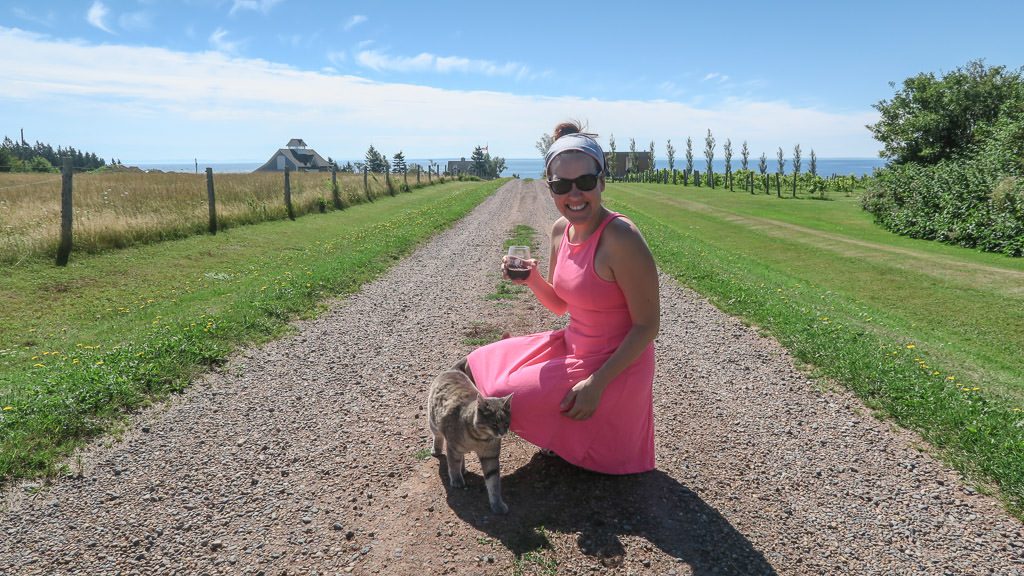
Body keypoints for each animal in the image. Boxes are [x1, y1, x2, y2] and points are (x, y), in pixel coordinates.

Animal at [425, 366, 509, 510]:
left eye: (506, 423)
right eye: (494, 424)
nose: (502, 433)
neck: (479, 439)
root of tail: (451, 370)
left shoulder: (490, 456)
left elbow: (493, 481)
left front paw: (497, 504)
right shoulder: (452, 447)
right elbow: (453, 464)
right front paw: (457, 480)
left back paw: (463, 469)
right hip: (434, 423)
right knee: (438, 437)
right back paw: (437, 450)